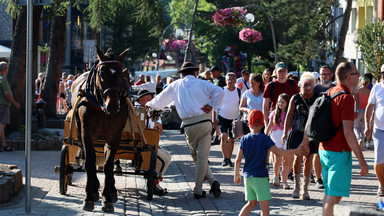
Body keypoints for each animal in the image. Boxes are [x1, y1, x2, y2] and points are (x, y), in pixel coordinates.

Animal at [72, 46, 130, 211]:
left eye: (120, 74)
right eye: (102, 73)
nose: (113, 105)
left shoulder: (114, 135)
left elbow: (108, 165)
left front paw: (107, 197)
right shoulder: (86, 132)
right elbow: (89, 163)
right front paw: (88, 197)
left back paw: (111, 190)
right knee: (89, 157)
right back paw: (94, 189)